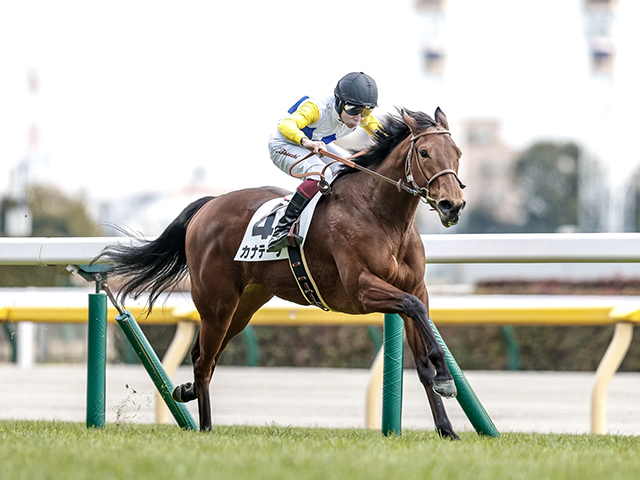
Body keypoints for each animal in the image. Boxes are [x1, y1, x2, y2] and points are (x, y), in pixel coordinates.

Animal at [95, 108, 464, 438]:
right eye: (424, 152)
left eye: (458, 153)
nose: (453, 205)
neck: (381, 215)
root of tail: (208, 205)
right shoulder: (361, 289)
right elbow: (415, 313)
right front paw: (446, 376)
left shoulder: (414, 287)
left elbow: (421, 350)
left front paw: (446, 427)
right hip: (216, 304)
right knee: (204, 361)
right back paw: (205, 426)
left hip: (242, 308)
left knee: (205, 355)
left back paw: (185, 392)